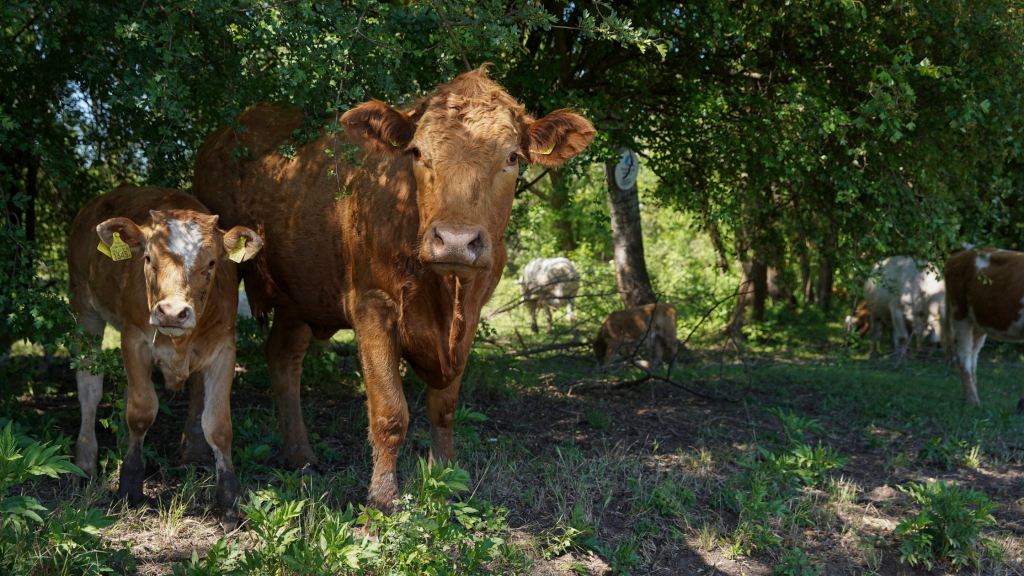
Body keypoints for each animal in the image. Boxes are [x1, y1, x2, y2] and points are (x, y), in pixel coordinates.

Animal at [67, 184, 260, 528]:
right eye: (148, 258)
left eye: (212, 263)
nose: (171, 312)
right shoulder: (134, 339)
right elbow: (142, 411)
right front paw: (130, 487)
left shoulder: (224, 348)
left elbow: (218, 426)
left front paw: (229, 503)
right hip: (84, 308)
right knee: (90, 388)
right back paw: (85, 461)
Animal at [192, 63, 598, 506]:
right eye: (417, 152)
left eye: (511, 156)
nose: (455, 240)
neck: (444, 296)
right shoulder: (373, 305)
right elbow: (390, 412)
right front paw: (382, 499)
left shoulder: (472, 313)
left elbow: (445, 407)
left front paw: (445, 478)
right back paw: (192, 450)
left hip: (299, 296)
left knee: (283, 359)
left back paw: (300, 456)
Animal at [942, 243, 1024, 409]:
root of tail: (967, 247)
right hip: (960, 312)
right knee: (964, 354)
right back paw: (973, 400)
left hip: (978, 320)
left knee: (974, 354)